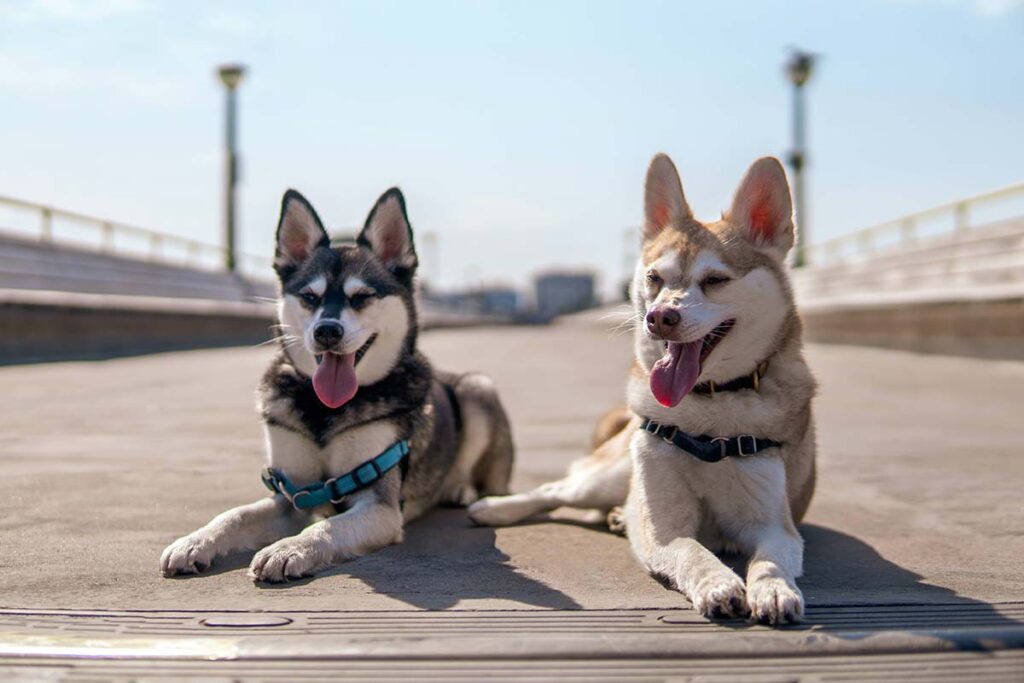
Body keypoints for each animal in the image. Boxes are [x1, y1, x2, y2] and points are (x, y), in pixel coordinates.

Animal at [161, 187, 512, 581]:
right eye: (309, 298)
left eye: (361, 297)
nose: (327, 330)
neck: (324, 410)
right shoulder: (292, 493)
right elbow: (235, 515)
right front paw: (195, 541)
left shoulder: (381, 505)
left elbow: (327, 526)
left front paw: (288, 549)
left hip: (477, 389)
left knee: (490, 482)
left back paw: (462, 489)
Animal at [468, 154, 815, 626]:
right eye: (654, 278)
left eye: (715, 280)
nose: (660, 317)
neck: (709, 415)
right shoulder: (664, 526)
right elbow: (692, 551)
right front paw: (718, 583)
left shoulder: (775, 525)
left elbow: (769, 559)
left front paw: (774, 589)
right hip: (608, 475)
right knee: (557, 490)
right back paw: (495, 508)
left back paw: (615, 516)